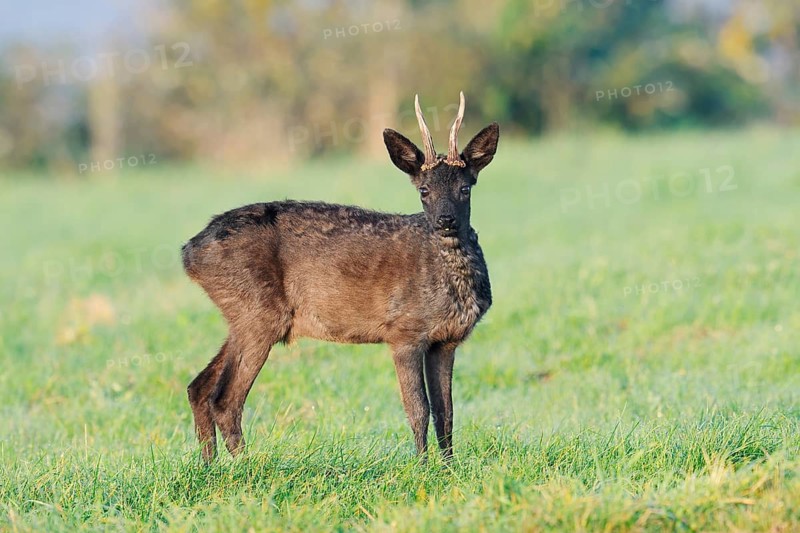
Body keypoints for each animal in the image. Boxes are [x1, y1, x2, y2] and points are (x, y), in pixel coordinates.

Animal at [182, 92, 499, 462]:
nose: (445, 220)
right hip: (257, 312)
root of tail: (189, 252)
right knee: (225, 399)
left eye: (466, 187)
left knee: (199, 386)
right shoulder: (403, 331)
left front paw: (448, 466)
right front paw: (423, 466)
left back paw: (210, 465)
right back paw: (244, 464)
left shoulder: (446, 340)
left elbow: (446, 412)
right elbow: (418, 409)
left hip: (242, 315)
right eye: (424, 190)